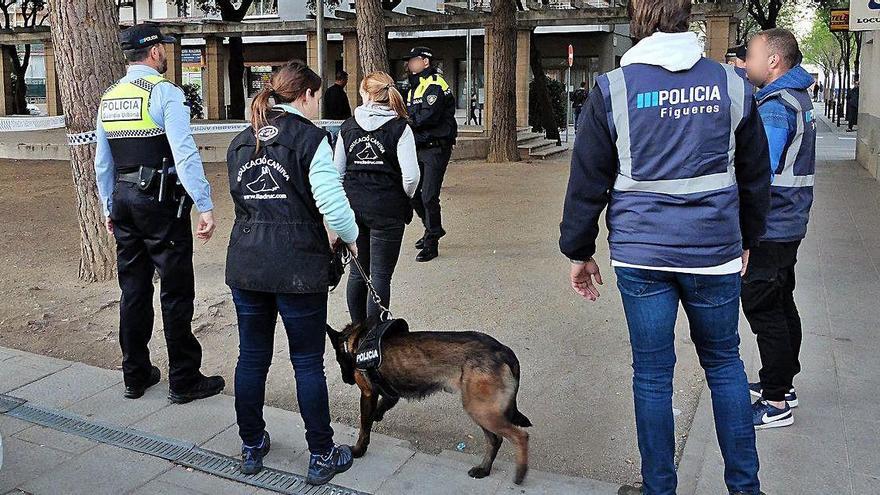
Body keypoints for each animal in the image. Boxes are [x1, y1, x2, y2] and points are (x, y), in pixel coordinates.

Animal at [326, 320, 532, 486]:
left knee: (520, 436)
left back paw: (520, 474)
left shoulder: (368, 394)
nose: (346, 380)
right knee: (495, 440)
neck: (356, 342)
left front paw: (358, 450)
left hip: (479, 409)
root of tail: (503, 351)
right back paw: (484, 469)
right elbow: (383, 405)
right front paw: (378, 415)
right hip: (481, 409)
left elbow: (364, 426)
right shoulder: (390, 393)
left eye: (338, 359)